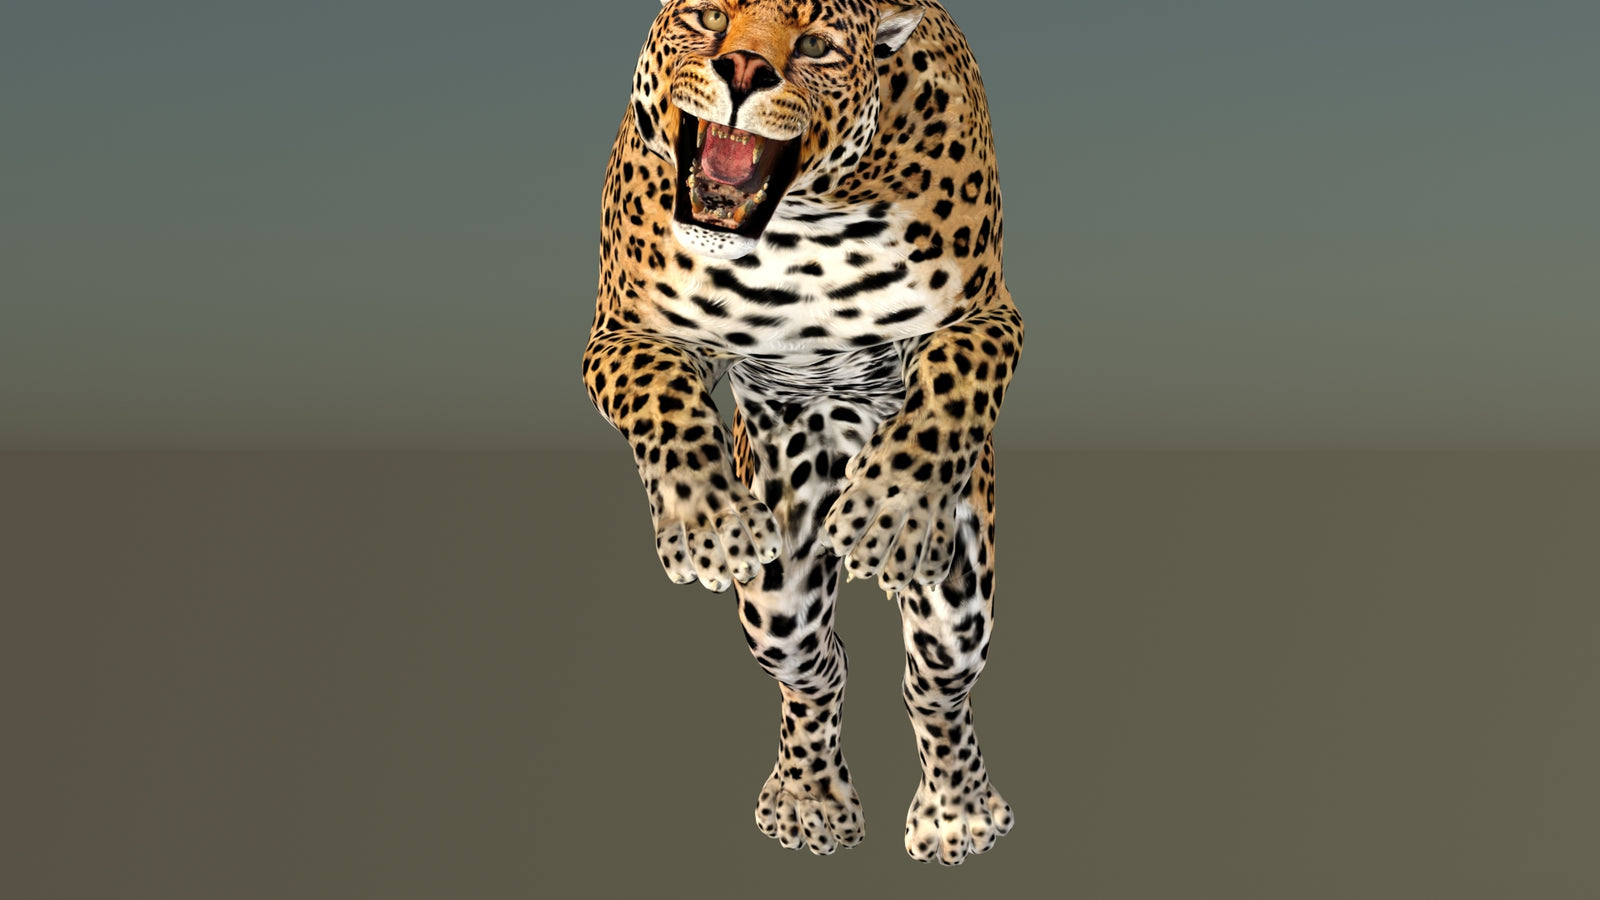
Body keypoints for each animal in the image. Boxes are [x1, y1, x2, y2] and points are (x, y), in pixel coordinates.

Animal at [581, 0, 1024, 865]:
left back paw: (956, 814)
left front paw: (891, 513)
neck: (801, 226)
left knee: (936, 683)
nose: (744, 71)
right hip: (778, 598)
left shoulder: (987, 318)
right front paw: (709, 524)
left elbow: (949, 391)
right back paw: (809, 799)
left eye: (816, 45)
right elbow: (662, 402)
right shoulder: (624, 332)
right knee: (819, 669)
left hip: (962, 594)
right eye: (708, 17)